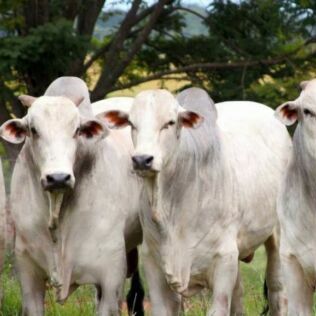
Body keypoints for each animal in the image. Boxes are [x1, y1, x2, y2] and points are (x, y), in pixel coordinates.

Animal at [100, 88, 292, 316]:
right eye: (132, 123)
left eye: (170, 122)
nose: (141, 160)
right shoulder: (153, 263)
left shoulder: (223, 261)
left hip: (277, 237)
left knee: (277, 289)